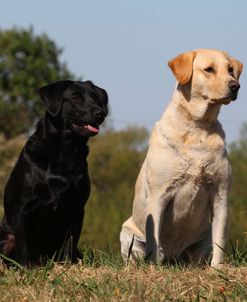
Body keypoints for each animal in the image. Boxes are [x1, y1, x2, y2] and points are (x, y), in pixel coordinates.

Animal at [0, 79, 108, 264]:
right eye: (75, 98)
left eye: (95, 97)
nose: (101, 112)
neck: (64, 150)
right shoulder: (22, 207)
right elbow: (23, 246)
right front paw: (24, 267)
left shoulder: (77, 208)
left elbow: (70, 242)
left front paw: (68, 265)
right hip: (7, 238)